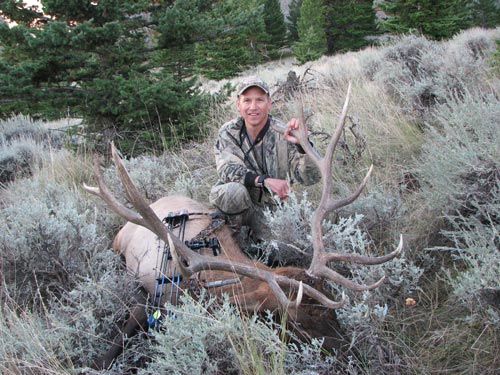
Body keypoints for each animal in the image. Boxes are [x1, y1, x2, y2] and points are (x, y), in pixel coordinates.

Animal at [83, 83, 402, 370]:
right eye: (298, 324)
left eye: (332, 312)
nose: (355, 356)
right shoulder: (151, 293)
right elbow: (114, 345)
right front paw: (97, 362)